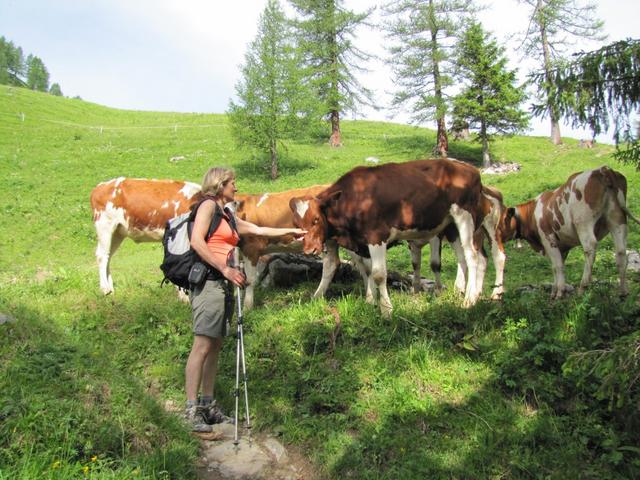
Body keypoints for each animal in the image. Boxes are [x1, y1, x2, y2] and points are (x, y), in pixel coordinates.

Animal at [289, 158, 486, 317]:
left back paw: (469, 300)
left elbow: (378, 274)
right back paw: (461, 292)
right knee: (462, 258)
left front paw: (386, 310)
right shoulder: (358, 243)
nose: (309, 249)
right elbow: (360, 270)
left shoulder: (376, 236)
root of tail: (471, 169)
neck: (353, 198)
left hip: (465, 217)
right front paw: (369, 301)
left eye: (316, 219)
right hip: (451, 226)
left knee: (473, 257)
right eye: (298, 224)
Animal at [499, 166, 640, 298]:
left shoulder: (549, 240)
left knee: (590, 247)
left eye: (501, 220)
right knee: (621, 252)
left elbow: (557, 266)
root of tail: (603, 169)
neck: (532, 214)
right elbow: (557, 267)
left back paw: (583, 287)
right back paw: (623, 292)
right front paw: (555, 291)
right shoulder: (562, 247)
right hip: (617, 220)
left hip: (583, 222)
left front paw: (560, 293)